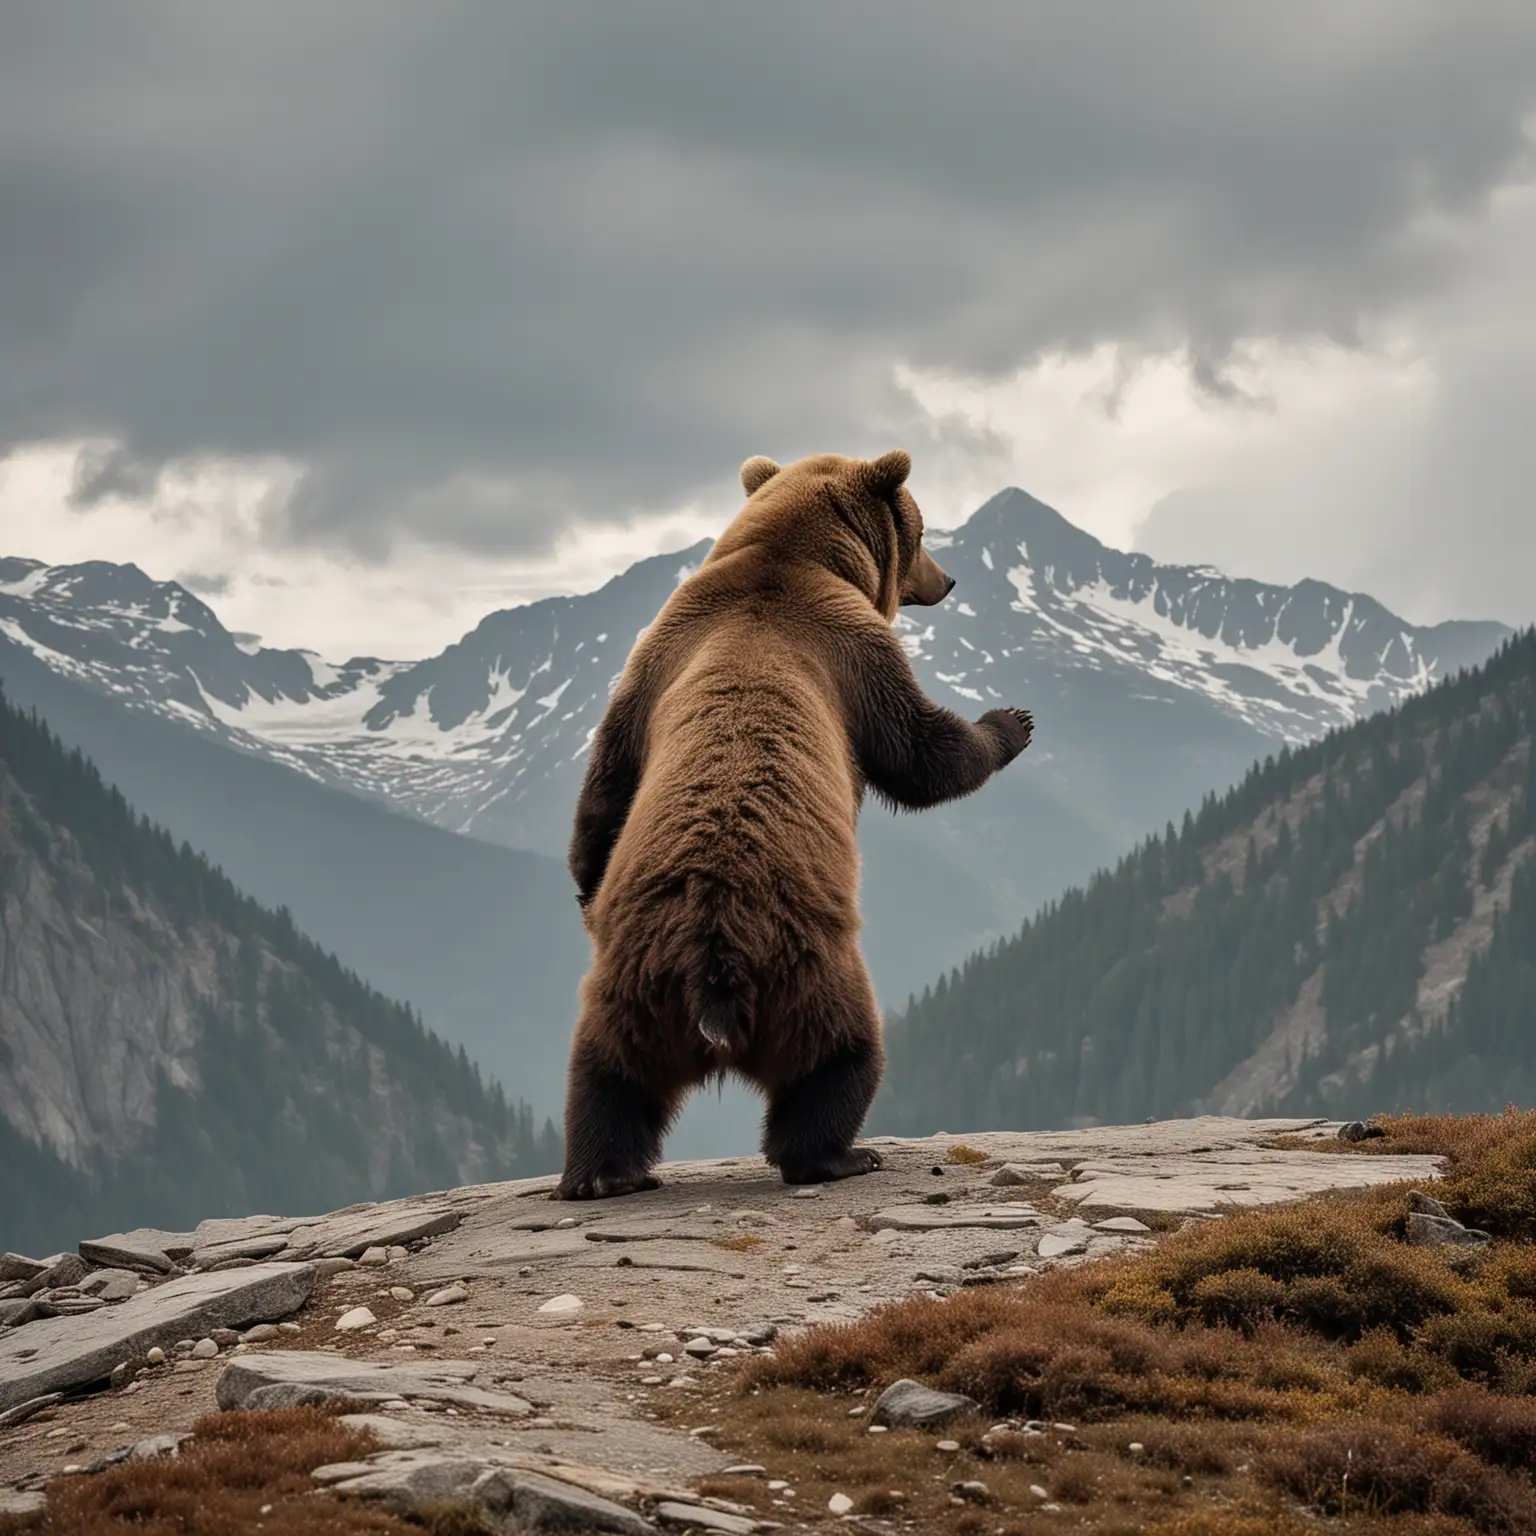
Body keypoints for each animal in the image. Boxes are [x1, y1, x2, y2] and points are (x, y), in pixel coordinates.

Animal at [552, 448, 1032, 1198]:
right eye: (923, 530)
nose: (948, 578)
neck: (786, 554)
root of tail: (712, 963)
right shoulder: (855, 651)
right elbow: (921, 752)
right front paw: (1010, 721)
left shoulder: (653, 663)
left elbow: (607, 784)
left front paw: (582, 883)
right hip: (809, 971)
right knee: (840, 1057)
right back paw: (839, 1154)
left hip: (630, 989)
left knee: (606, 1077)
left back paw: (604, 1174)